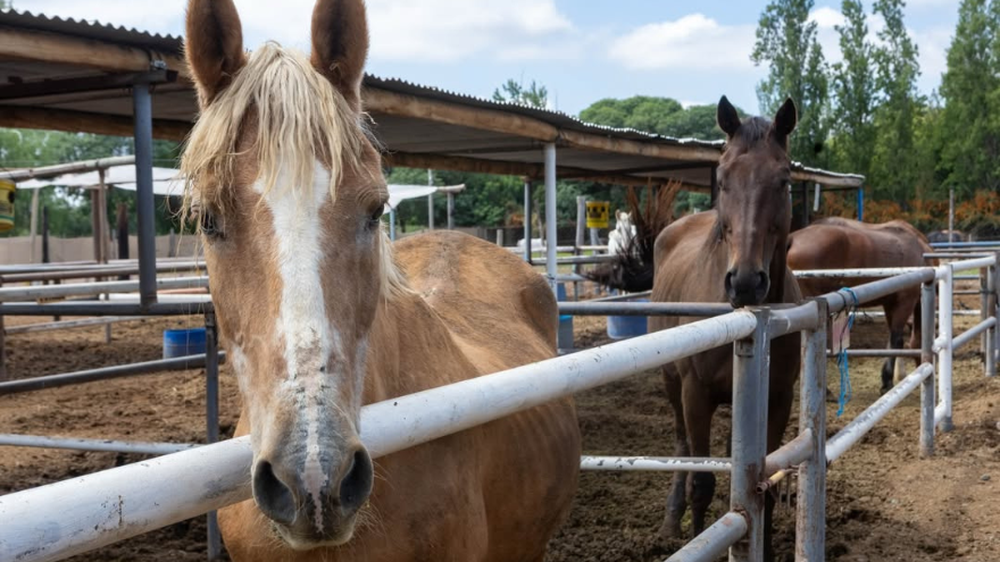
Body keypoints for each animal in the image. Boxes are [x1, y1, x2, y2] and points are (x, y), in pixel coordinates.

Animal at [648, 97, 802, 560]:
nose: (746, 281)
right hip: (672, 384)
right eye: (722, 178)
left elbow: (765, 485)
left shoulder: (778, 399)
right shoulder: (695, 394)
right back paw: (672, 518)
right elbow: (702, 481)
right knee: (682, 448)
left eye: (784, 180)